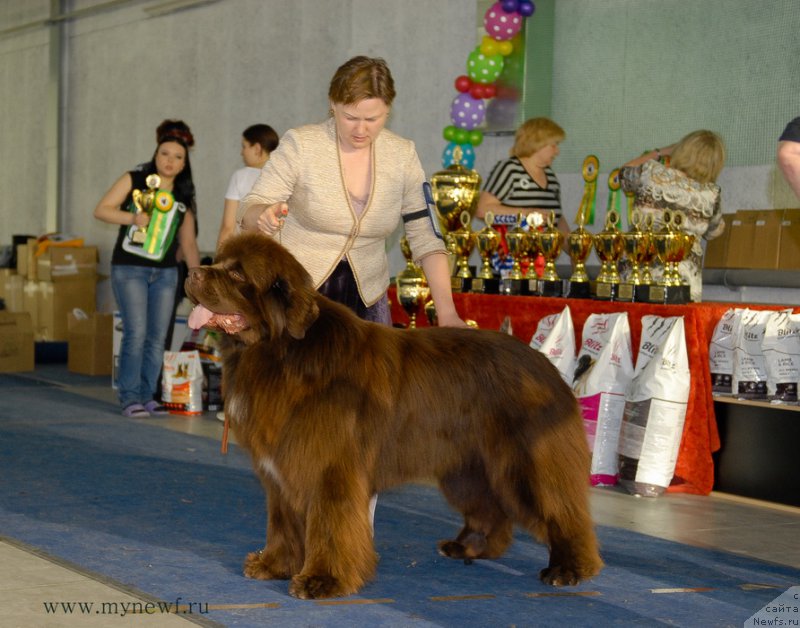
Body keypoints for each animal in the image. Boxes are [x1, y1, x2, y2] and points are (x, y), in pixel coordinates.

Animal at [186, 231, 600, 600]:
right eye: (219, 261)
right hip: (466, 468)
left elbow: (328, 525)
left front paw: (322, 580)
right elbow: (283, 522)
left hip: (524, 465)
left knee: (563, 511)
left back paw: (570, 569)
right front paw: (274, 565)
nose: (193, 271)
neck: (281, 353)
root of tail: (547, 366)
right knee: (491, 510)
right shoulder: (284, 470)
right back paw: (468, 547)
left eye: (238, 274)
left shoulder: (329, 470)